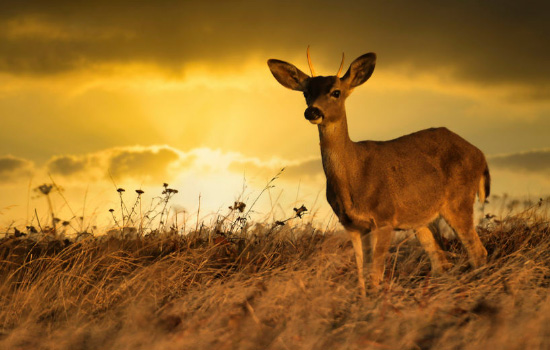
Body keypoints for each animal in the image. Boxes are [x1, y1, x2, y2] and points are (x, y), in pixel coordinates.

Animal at [270, 49, 490, 294]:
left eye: (336, 92)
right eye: (306, 92)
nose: (313, 111)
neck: (354, 176)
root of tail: (480, 154)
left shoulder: (385, 217)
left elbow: (375, 273)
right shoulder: (352, 224)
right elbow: (361, 273)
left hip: (458, 201)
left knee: (478, 252)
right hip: (422, 220)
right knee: (441, 261)